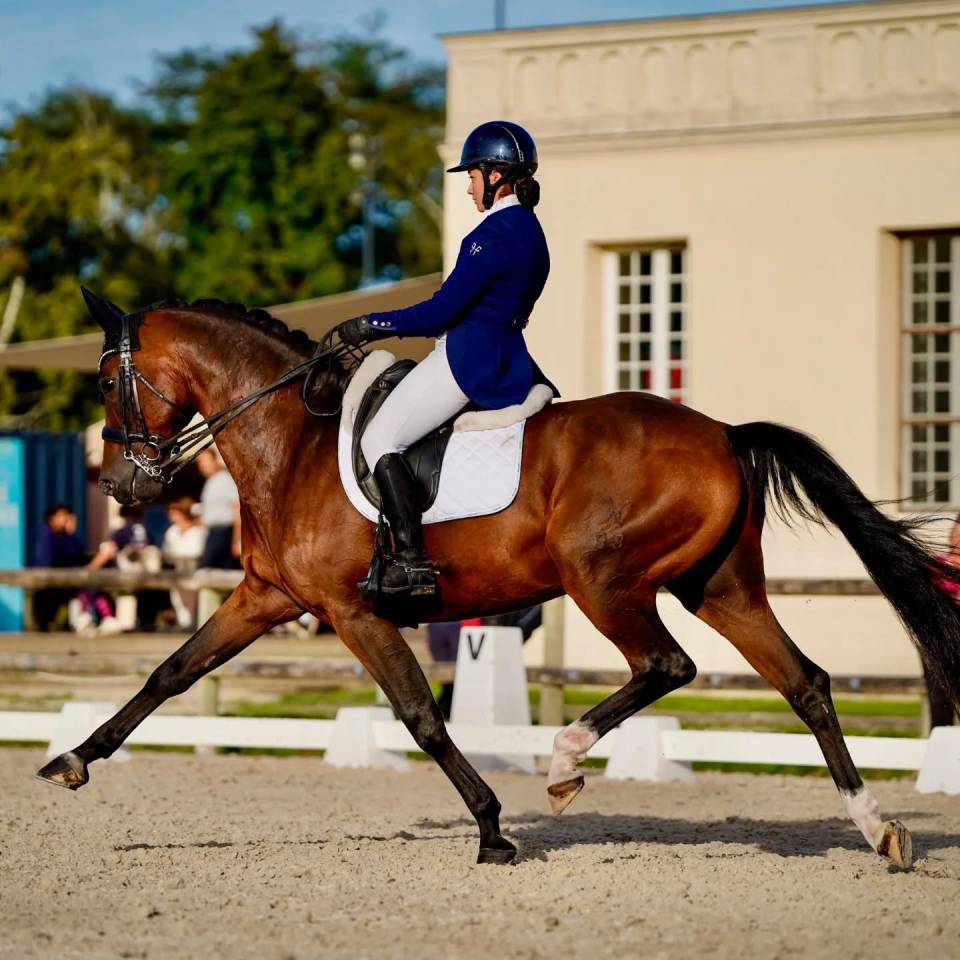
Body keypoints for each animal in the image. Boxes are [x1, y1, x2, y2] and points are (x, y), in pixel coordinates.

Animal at [37, 291, 960, 871]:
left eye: (106, 379)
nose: (119, 487)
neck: (292, 438)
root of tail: (725, 432)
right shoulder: (268, 597)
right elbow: (171, 671)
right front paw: (73, 759)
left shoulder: (349, 610)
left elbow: (422, 717)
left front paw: (491, 831)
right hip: (720, 587)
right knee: (805, 683)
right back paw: (878, 830)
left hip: (601, 579)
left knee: (666, 666)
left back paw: (563, 763)